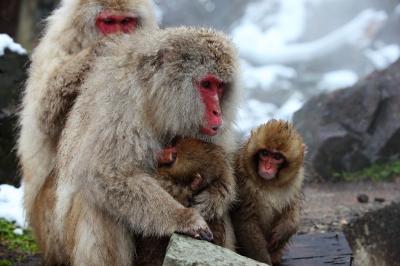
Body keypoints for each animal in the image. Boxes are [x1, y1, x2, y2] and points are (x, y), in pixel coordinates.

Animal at [17, 0, 158, 260]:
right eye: (109, 22)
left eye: (126, 22)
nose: (119, 35)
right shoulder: (54, 46)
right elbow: (43, 116)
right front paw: (97, 52)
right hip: (51, 229)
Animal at [38, 27, 241, 266]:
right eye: (207, 84)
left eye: (220, 86)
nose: (218, 112)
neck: (154, 98)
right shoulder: (121, 103)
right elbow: (108, 173)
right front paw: (183, 218)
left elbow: (221, 164)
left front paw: (216, 196)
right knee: (99, 206)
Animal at [230, 120, 304, 266]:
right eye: (264, 153)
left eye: (277, 157)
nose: (267, 167)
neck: (269, 184)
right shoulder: (243, 183)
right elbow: (247, 222)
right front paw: (264, 261)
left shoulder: (296, 181)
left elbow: (293, 207)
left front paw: (285, 230)